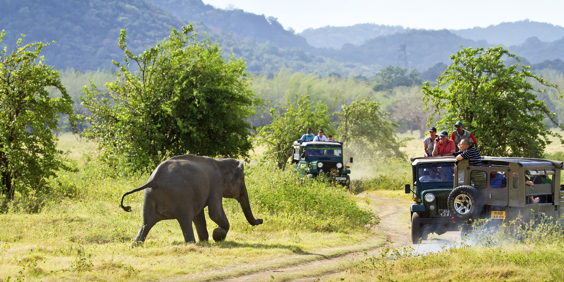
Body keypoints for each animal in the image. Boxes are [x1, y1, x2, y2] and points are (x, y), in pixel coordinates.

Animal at [119, 153, 264, 243]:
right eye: (242, 178)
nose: (261, 220)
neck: (221, 162)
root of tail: (154, 180)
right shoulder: (216, 184)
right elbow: (215, 213)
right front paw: (217, 235)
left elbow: (199, 216)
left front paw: (206, 240)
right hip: (180, 196)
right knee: (186, 219)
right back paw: (191, 243)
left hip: (149, 196)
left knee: (147, 222)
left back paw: (136, 245)